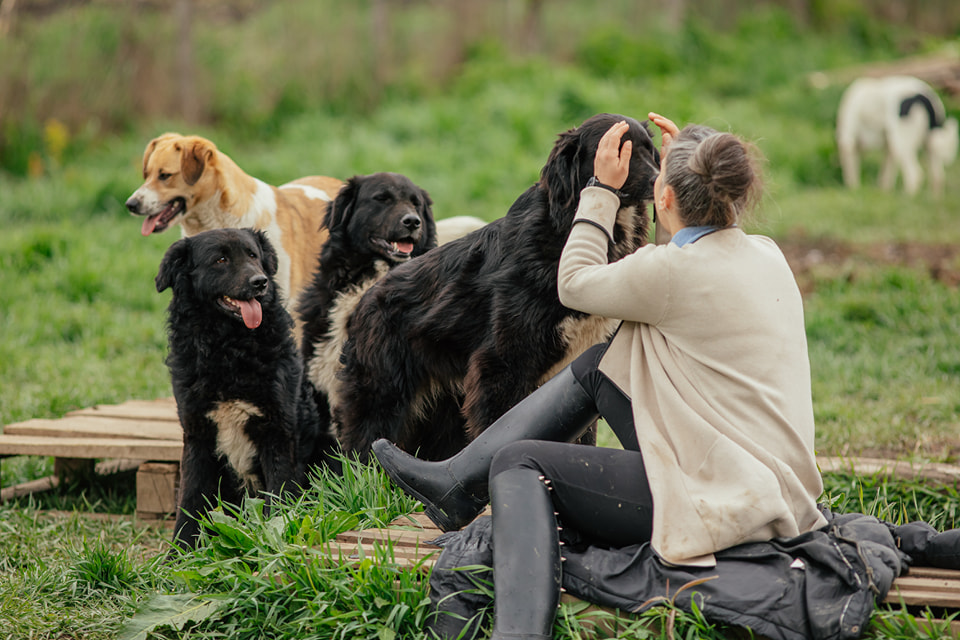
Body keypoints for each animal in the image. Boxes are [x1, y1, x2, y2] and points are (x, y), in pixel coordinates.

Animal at [157, 228, 338, 548]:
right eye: (220, 260)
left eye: (253, 255)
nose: (260, 282)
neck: (230, 348)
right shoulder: (197, 434)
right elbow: (189, 503)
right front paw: (178, 554)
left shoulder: (278, 432)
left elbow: (278, 497)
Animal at [332, 112, 660, 458]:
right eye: (618, 152)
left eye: (649, 150)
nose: (658, 180)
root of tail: (363, 301)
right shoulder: (501, 361)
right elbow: (498, 425)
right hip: (383, 392)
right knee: (363, 445)